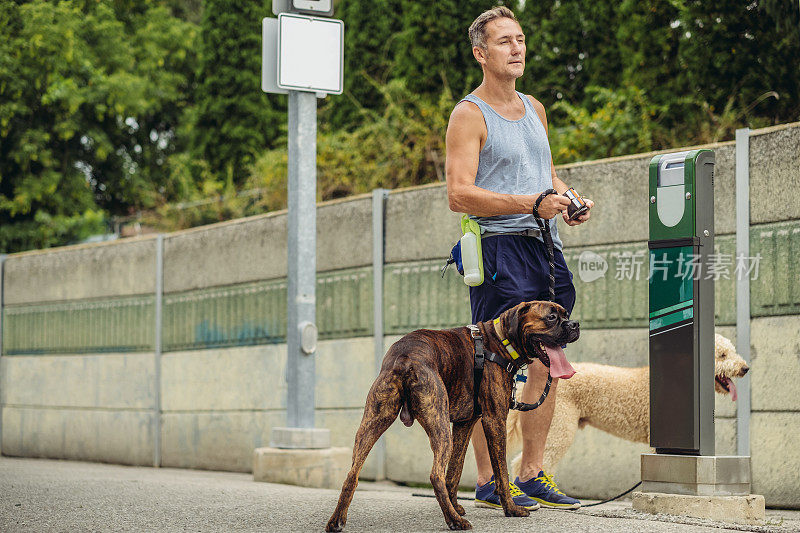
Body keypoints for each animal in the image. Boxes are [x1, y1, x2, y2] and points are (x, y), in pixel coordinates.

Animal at [324, 298, 580, 528]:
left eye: (565, 314)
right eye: (551, 317)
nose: (575, 324)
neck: (498, 340)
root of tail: (405, 358)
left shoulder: (464, 424)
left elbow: (455, 470)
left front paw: (455, 504)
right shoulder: (494, 421)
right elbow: (501, 472)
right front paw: (511, 508)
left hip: (373, 421)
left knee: (352, 474)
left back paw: (337, 520)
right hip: (439, 426)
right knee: (435, 475)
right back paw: (455, 521)